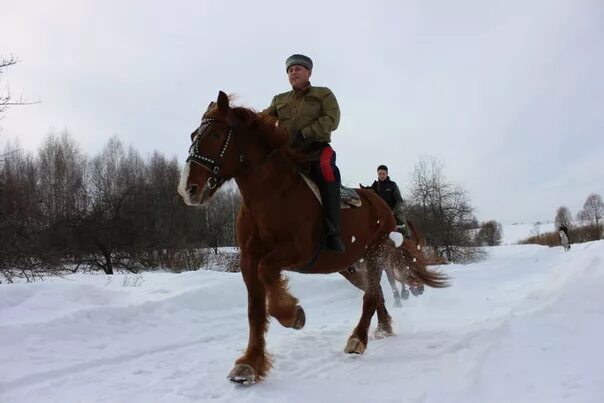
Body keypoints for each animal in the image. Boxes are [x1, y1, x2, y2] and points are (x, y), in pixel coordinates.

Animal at [177, 91, 446, 386]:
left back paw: (358, 339)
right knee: (375, 292)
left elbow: (267, 273)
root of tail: (381, 205)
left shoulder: (297, 252)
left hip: (375, 253)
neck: (273, 194)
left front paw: (293, 315)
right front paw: (249, 363)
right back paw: (383, 327)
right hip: (350, 266)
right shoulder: (248, 259)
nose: (189, 189)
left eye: (215, 134)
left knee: (371, 295)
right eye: (193, 135)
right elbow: (255, 311)